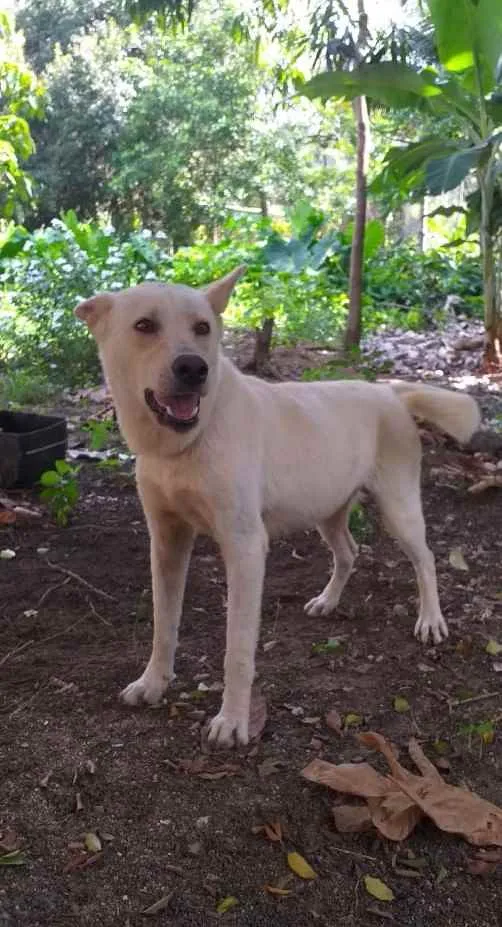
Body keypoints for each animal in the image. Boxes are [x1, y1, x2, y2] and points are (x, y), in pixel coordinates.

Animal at [76, 266, 480, 748]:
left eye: (203, 328)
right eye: (144, 326)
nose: (194, 368)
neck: (186, 443)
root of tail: (389, 392)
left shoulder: (246, 548)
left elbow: (237, 649)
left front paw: (232, 720)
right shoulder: (167, 542)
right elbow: (164, 625)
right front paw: (154, 683)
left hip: (399, 507)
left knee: (426, 559)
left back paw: (431, 620)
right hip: (327, 509)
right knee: (349, 552)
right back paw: (328, 601)